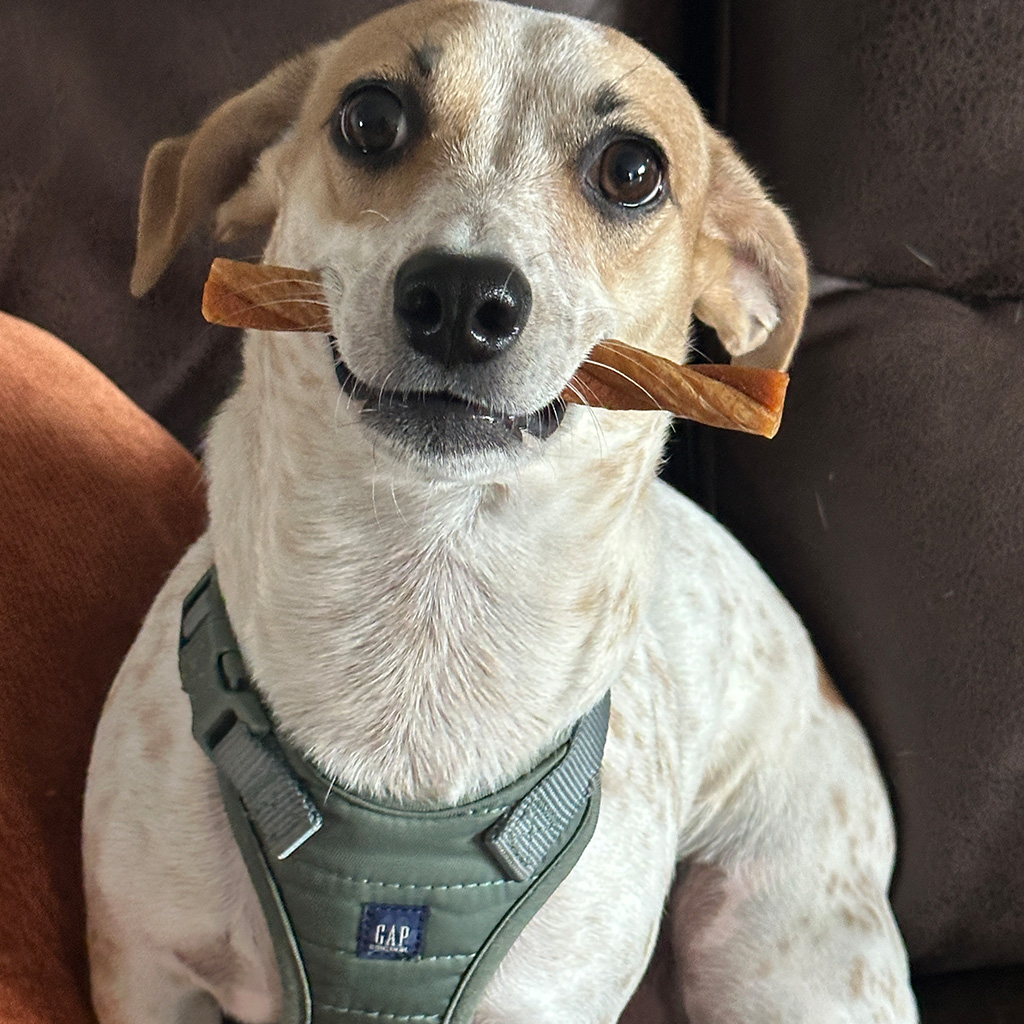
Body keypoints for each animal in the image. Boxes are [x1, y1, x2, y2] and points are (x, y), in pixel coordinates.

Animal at [82, 1, 918, 1021]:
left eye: (633, 170)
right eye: (370, 118)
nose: (461, 297)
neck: (426, 591)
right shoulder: (144, 967)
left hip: (776, 968)